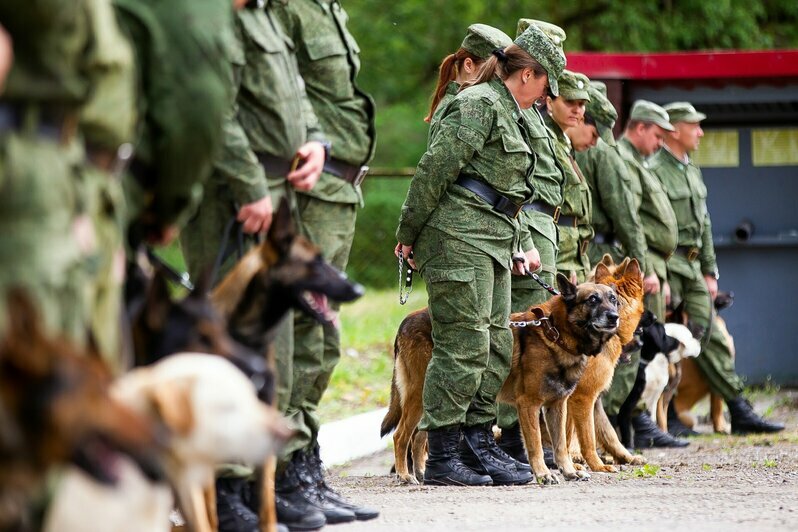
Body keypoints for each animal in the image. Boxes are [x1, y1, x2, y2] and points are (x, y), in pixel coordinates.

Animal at [384, 274, 620, 486]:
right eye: (592, 300)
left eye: (613, 299)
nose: (614, 317)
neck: (555, 332)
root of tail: (406, 320)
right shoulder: (529, 405)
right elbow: (535, 444)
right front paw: (543, 474)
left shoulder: (557, 406)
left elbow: (561, 444)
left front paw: (569, 471)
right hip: (421, 397)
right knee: (401, 436)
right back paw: (405, 475)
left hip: (435, 399)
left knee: (419, 438)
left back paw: (424, 473)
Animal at [568, 256, 648, 472]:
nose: (641, 343)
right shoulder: (582, 398)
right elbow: (583, 435)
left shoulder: (594, 401)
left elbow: (609, 433)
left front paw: (626, 457)